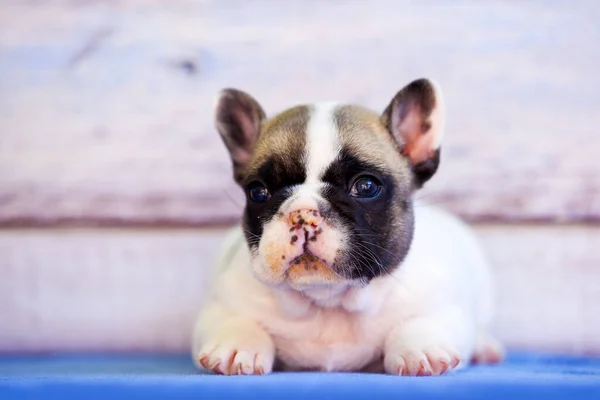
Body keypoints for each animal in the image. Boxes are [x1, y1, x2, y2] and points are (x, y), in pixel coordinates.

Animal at [191, 78, 502, 376]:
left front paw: (421, 347)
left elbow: (419, 321)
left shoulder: (441, 305)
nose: (303, 214)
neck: (330, 302)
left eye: (366, 186)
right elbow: (236, 321)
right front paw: (237, 345)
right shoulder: (223, 304)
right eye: (257, 192)